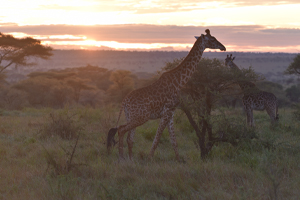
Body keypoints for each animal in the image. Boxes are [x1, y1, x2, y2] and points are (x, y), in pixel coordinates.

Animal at [106, 29, 226, 161]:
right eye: (212, 39)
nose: (223, 47)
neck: (179, 81)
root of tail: (124, 101)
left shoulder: (171, 113)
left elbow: (174, 141)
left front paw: (179, 161)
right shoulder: (167, 112)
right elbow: (157, 138)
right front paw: (149, 158)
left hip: (132, 116)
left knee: (129, 138)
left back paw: (130, 160)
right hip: (141, 117)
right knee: (121, 130)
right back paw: (121, 158)